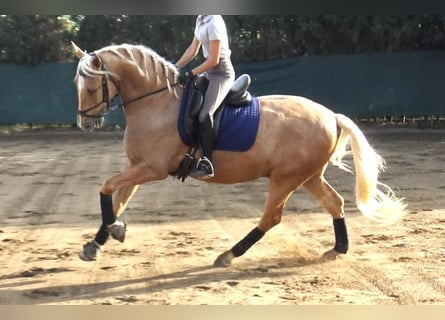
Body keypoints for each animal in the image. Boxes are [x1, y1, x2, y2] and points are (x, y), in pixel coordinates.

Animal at [72, 42, 406, 266]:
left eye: (91, 88)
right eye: (77, 84)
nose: (84, 123)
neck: (156, 103)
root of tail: (330, 116)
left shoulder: (152, 168)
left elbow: (106, 188)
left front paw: (113, 230)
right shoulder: (137, 167)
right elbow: (115, 198)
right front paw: (99, 241)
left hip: (286, 178)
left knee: (271, 217)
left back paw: (229, 254)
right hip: (308, 175)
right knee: (334, 203)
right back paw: (338, 249)